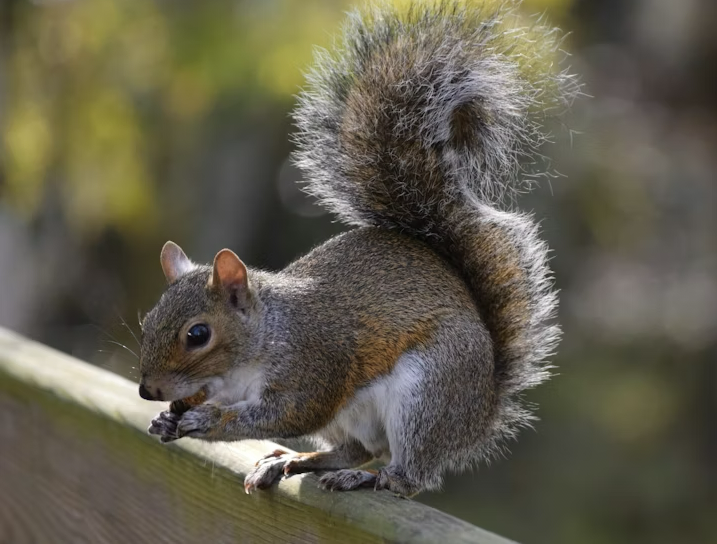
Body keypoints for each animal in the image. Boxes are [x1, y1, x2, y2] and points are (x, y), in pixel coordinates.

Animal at [139, 0, 577, 496]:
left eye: (198, 334)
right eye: (148, 320)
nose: (148, 390)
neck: (262, 339)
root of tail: (480, 412)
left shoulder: (314, 364)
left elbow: (288, 412)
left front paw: (206, 420)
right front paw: (165, 420)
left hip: (426, 395)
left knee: (405, 475)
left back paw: (372, 479)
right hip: (353, 419)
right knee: (358, 448)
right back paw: (296, 460)